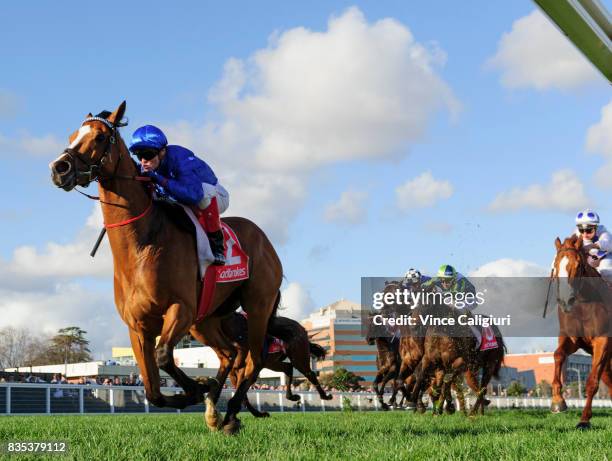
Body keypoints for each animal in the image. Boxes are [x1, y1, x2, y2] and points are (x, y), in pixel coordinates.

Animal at [49, 99, 284, 432]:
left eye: (99, 137)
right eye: (72, 135)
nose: (59, 168)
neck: (142, 246)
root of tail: (266, 241)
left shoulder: (180, 309)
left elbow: (163, 358)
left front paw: (198, 387)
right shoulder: (138, 327)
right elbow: (152, 391)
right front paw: (199, 390)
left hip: (257, 305)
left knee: (254, 358)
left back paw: (230, 411)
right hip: (206, 319)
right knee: (230, 354)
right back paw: (219, 413)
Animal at [548, 235, 612, 430]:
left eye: (577, 265)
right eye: (556, 265)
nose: (565, 301)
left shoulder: (603, 341)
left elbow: (591, 382)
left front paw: (584, 420)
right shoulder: (571, 339)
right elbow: (558, 355)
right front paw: (558, 402)